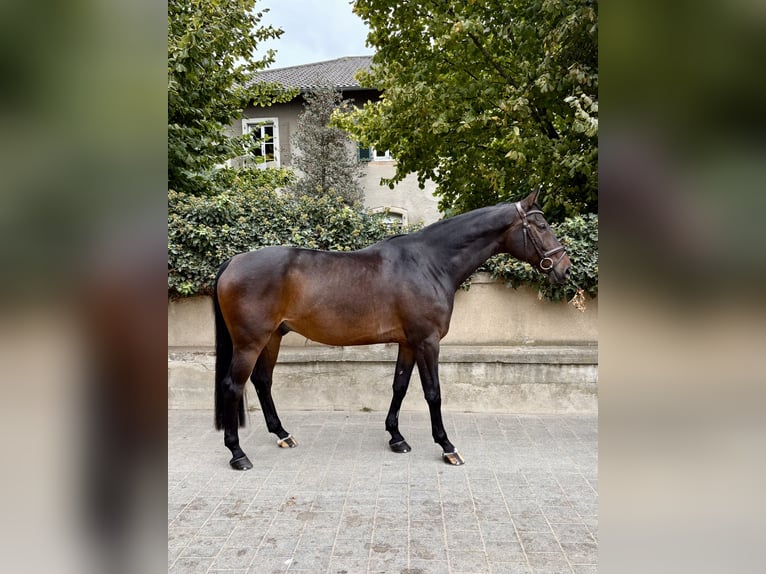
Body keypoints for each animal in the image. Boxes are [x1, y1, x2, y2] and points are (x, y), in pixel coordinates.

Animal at [212, 188, 571, 469]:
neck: (428, 263)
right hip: (249, 342)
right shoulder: (427, 341)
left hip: (272, 337)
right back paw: (237, 453)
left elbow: (399, 386)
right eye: (541, 225)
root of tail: (234, 261)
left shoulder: (408, 342)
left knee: (262, 382)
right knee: (233, 386)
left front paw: (396, 438)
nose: (564, 268)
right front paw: (447, 447)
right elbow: (433, 393)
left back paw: (283, 434)